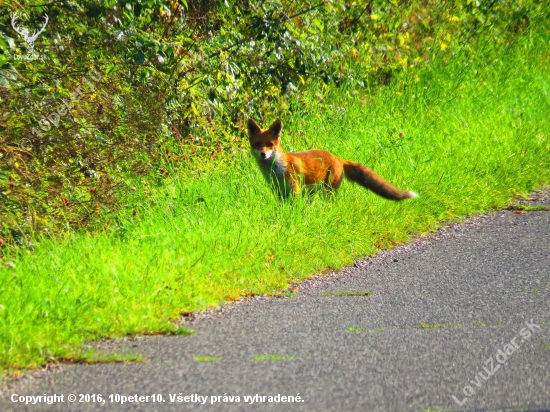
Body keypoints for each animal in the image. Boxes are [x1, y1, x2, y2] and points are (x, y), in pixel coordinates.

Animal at [248, 118, 420, 200]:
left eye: (269, 145)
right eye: (257, 144)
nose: (263, 154)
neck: (275, 170)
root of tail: (336, 157)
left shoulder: (294, 190)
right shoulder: (278, 191)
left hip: (328, 190)